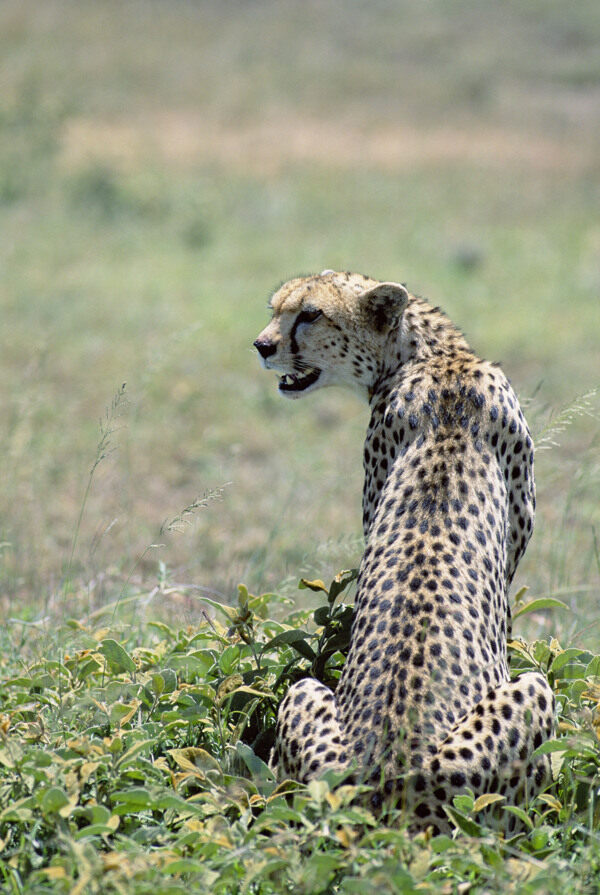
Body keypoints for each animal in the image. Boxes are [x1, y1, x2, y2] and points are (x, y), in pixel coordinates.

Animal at [252, 272, 552, 832]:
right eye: (276, 309)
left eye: (309, 315)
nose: (261, 346)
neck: (435, 356)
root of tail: (388, 773)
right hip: (531, 694)